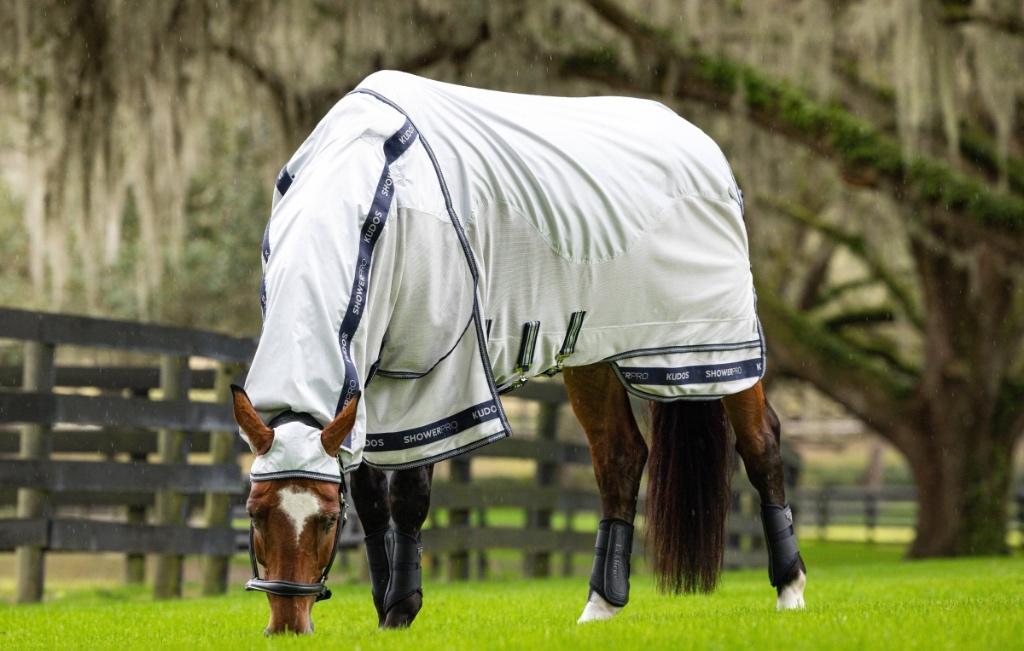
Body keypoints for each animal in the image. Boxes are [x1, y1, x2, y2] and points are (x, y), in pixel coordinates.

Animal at [231, 70, 807, 635]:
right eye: (255, 512)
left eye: (327, 519)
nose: (287, 625)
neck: (375, 197)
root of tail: (705, 148)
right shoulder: (364, 385)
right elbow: (373, 499)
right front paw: (382, 603)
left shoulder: (433, 381)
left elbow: (409, 495)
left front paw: (400, 609)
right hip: (593, 357)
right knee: (619, 457)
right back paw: (600, 605)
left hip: (717, 348)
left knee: (760, 443)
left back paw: (790, 589)